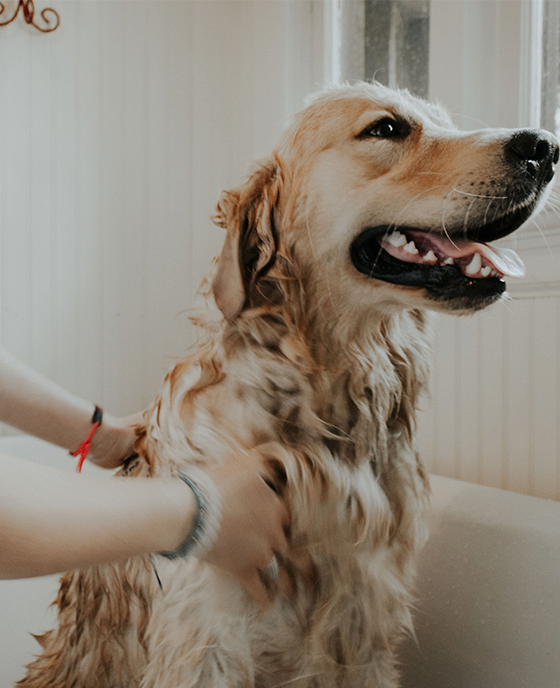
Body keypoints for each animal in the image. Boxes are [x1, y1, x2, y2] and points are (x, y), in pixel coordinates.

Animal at [17, 82, 556, 688]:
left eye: (442, 120)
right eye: (387, 129)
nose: (544, 146)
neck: (327, 405)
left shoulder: (366, 623)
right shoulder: (208, 637)